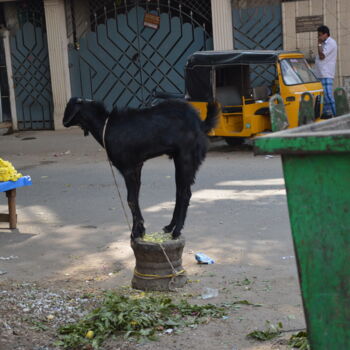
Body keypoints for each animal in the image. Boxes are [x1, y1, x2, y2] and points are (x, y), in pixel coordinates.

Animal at [61, 98, 217, 241]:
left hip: (186, 158)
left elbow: (130, 199)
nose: (63, 123)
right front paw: (140, 229)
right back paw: (169, 226)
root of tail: (200, 123)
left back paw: (176, 231)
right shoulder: (137, 166)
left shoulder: (128, 168)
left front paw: (136, 232)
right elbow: (135, 197)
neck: (106, 126)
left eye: (68, 107)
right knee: (180, 192)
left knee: (185, 194)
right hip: (180, 159)